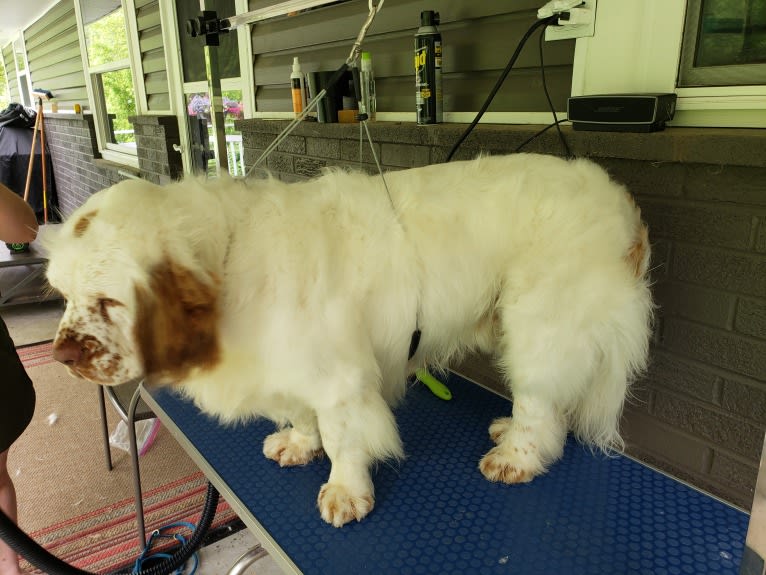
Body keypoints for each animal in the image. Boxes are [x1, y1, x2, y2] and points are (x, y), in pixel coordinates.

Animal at [45, 153, 652, 528]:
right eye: (62, 294)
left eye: (110, 301)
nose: (62, 354)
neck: (227, 261)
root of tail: (621, 201)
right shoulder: (286, 368)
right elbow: (302, 416)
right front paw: (297, 444)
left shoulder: (339, 377)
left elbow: (343, 438)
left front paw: (344, 492)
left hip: (541, 325)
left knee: (540, 404)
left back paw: (515, 456)